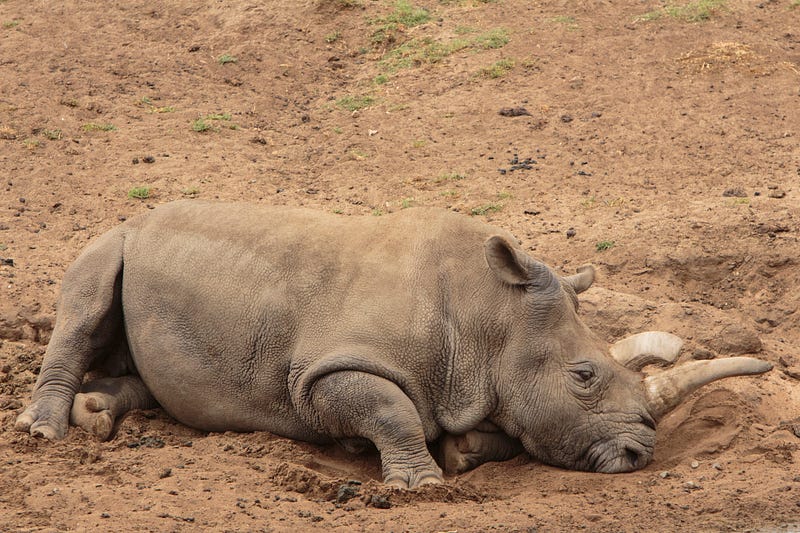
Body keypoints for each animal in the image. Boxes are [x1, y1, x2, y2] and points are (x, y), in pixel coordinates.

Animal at [15, 202, 772, 488]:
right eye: (584, 375)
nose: (640, 454)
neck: (488, 316)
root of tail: (141, 215)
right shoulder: (320, 372)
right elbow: (389, 410)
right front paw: (420, 482)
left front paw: (463, 451)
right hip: (117, 235)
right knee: (86, 296)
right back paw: (48, 431)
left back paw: (95, 414)